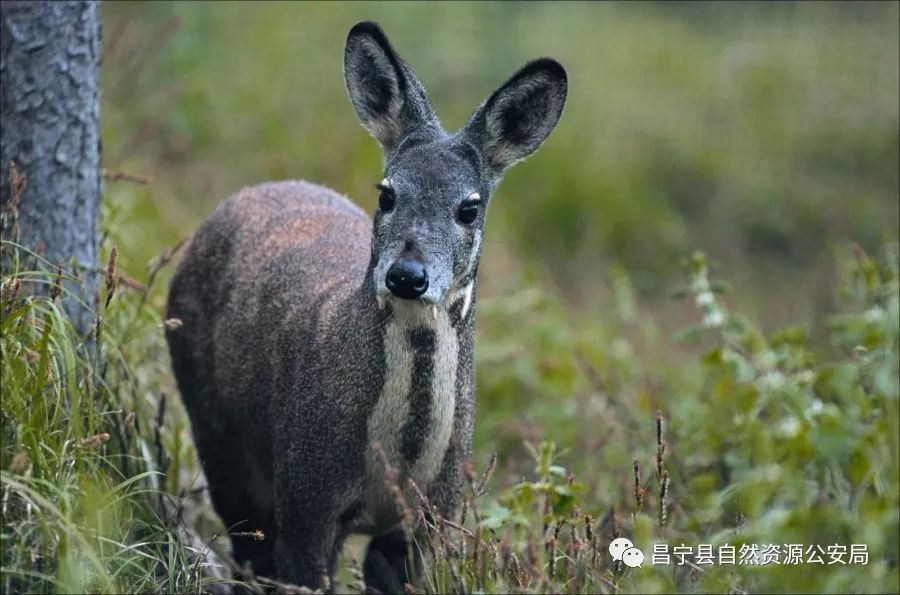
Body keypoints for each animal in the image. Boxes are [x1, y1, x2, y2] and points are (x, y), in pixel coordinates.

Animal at [165, 21, 568, 592]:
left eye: (469, 208)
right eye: (387, 194)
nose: (407, 275)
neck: (395, 463)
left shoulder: (432, 515)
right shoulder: (306, 496)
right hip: (217, 433)